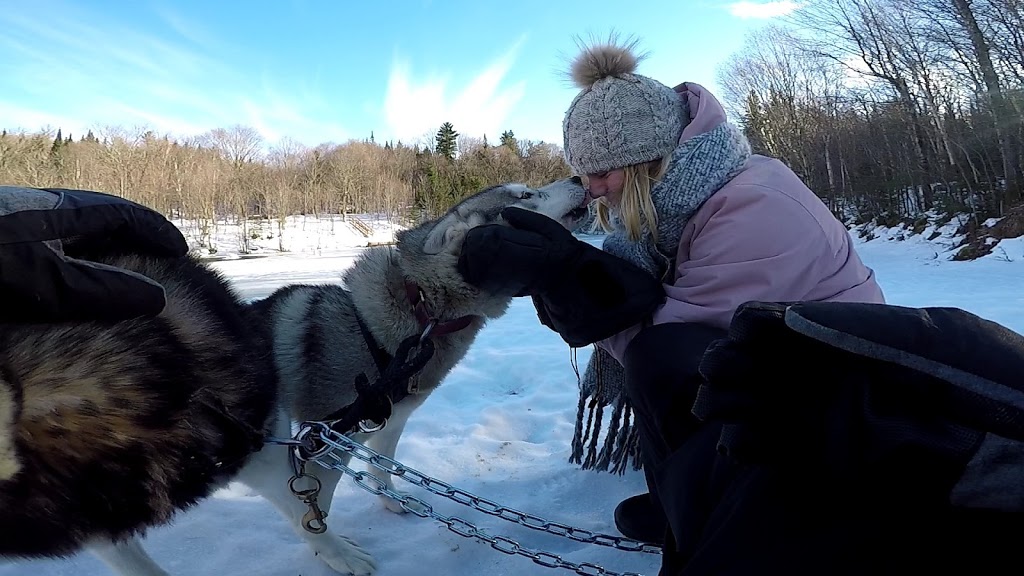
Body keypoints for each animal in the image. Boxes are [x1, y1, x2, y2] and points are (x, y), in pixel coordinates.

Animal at [2, 176, 585, 573]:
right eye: (526, 196)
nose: (579, 180)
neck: (410, 316)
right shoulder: (314, 442)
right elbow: (312, 503)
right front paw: (329, 550)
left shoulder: (384, 422)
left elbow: (383, 467)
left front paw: (391, 500)